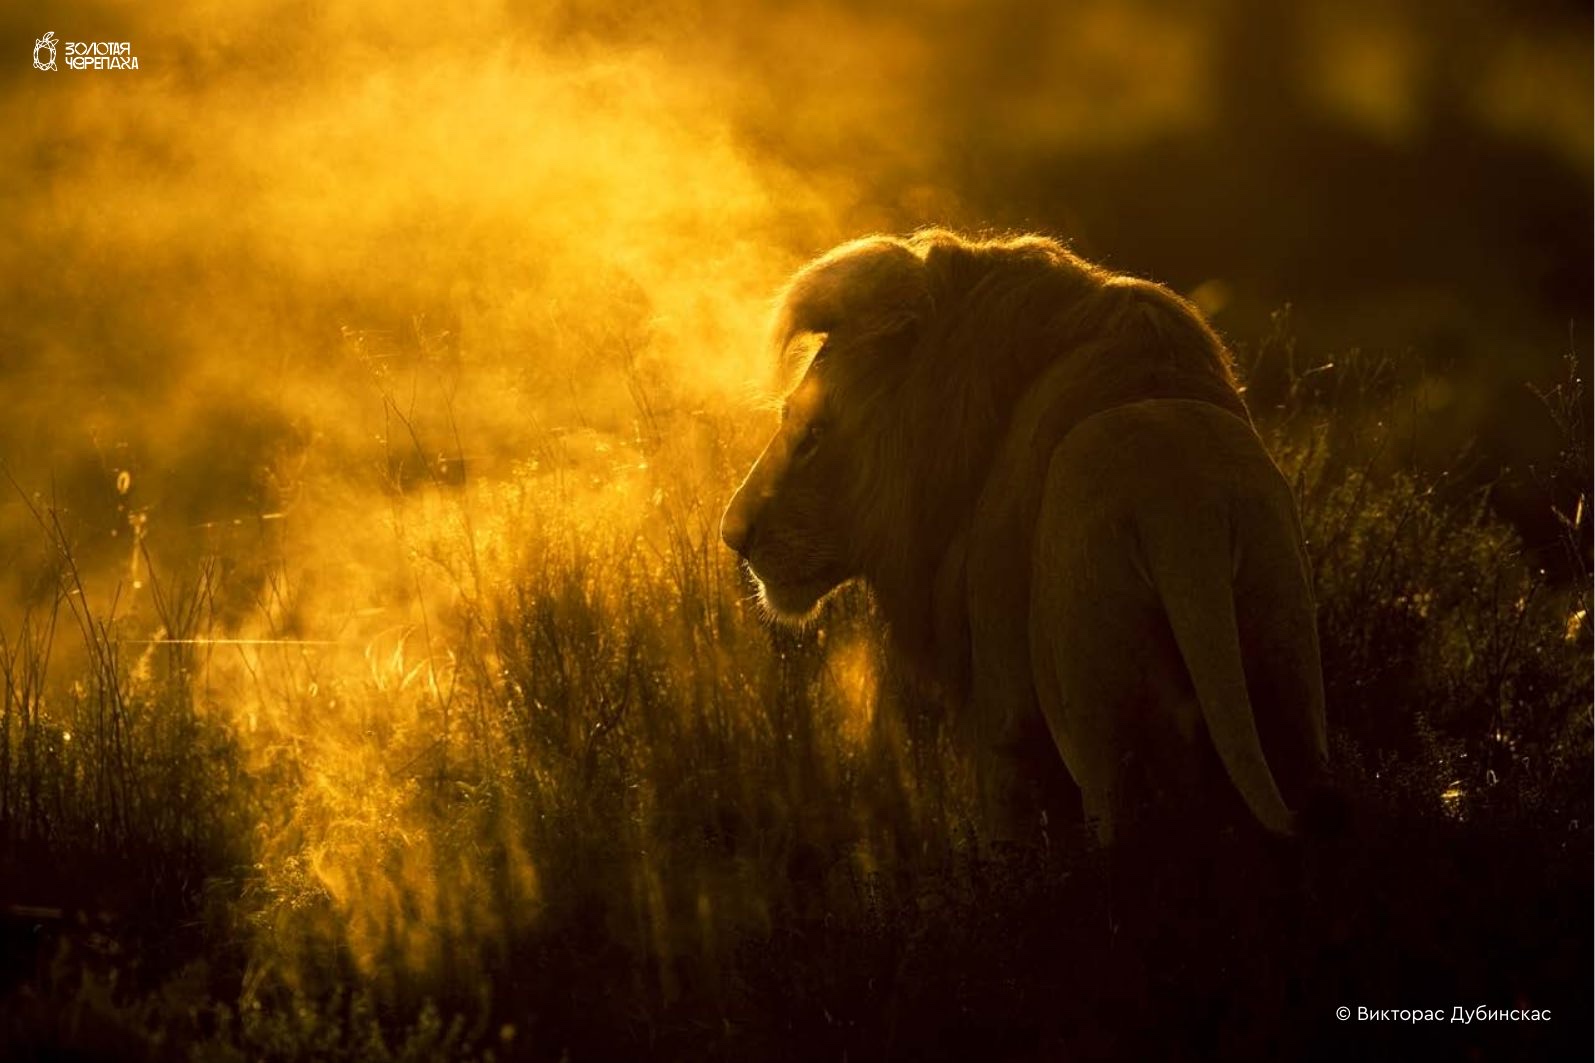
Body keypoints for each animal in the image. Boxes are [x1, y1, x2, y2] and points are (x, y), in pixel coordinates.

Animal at [720, 229, 1329, 845]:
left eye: (814, 431)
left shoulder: (1002, 726)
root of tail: (1182, 506)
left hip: (1101, 732)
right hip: (1288, 675)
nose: (733, 534)